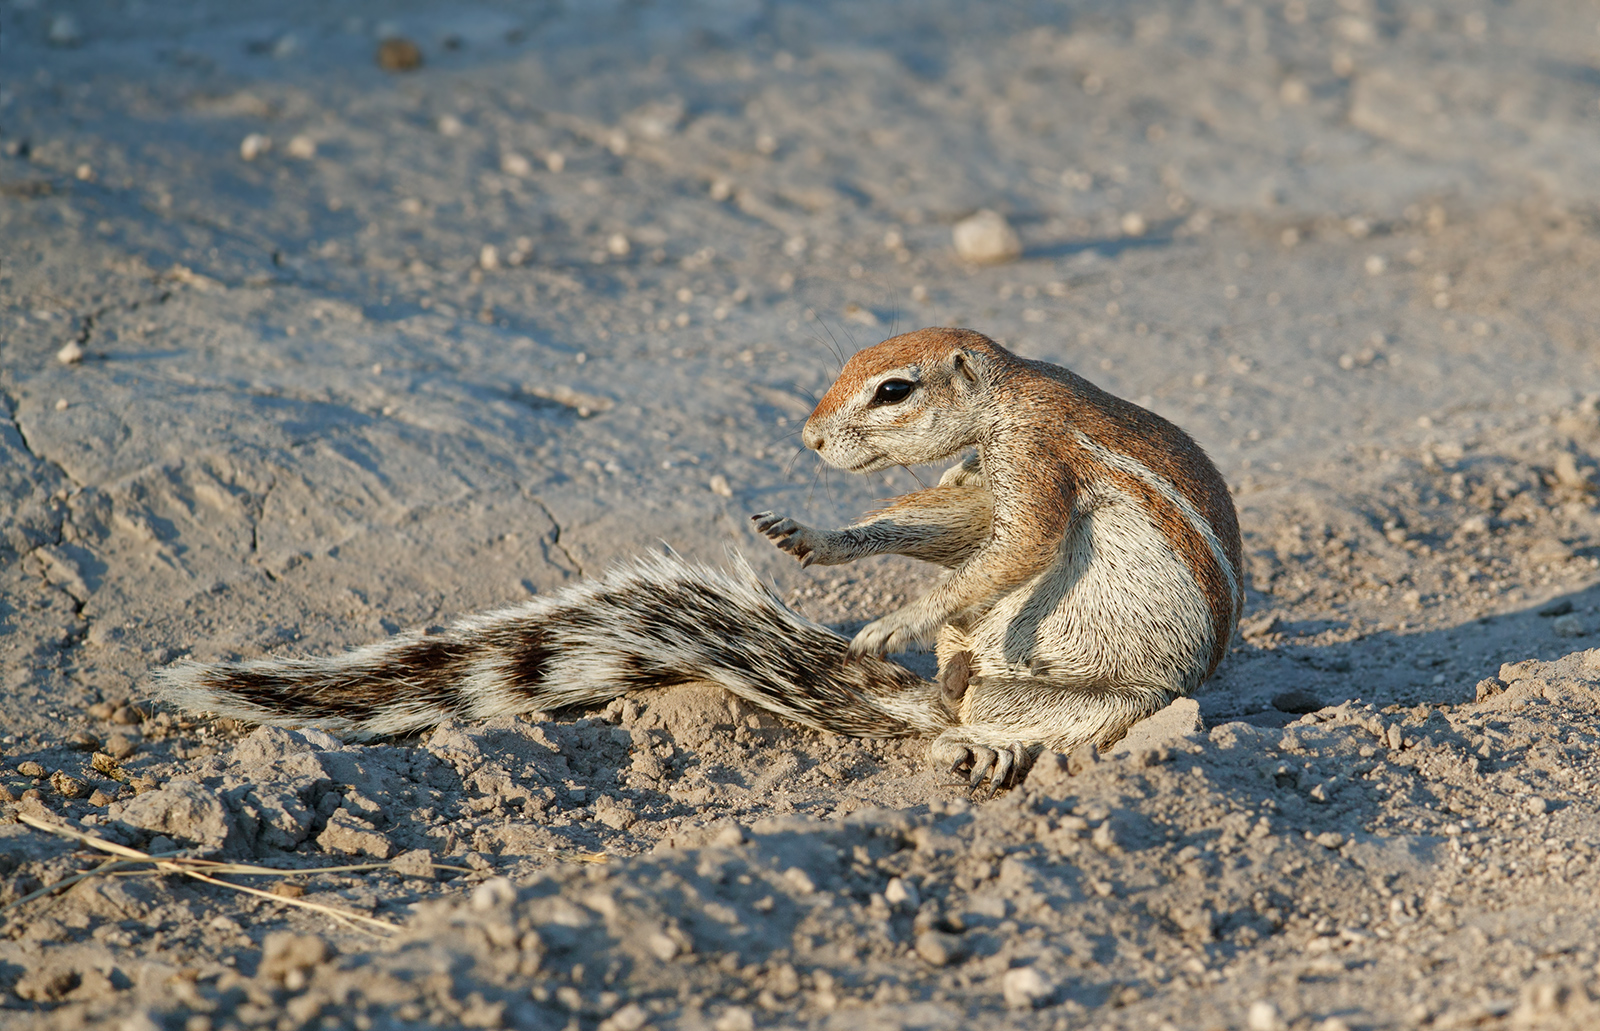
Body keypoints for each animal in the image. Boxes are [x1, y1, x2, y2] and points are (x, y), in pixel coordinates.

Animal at [157, 327, 1242, 789]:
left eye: (892, 388)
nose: (808, 437)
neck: (1007, 394)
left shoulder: (1033, 458)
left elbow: (1019, 544)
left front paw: (898, 616)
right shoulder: (976, 477)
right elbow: (949, 526)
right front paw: (820, 538)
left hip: (1101, 696)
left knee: (1044, 720)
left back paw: (996, 744)